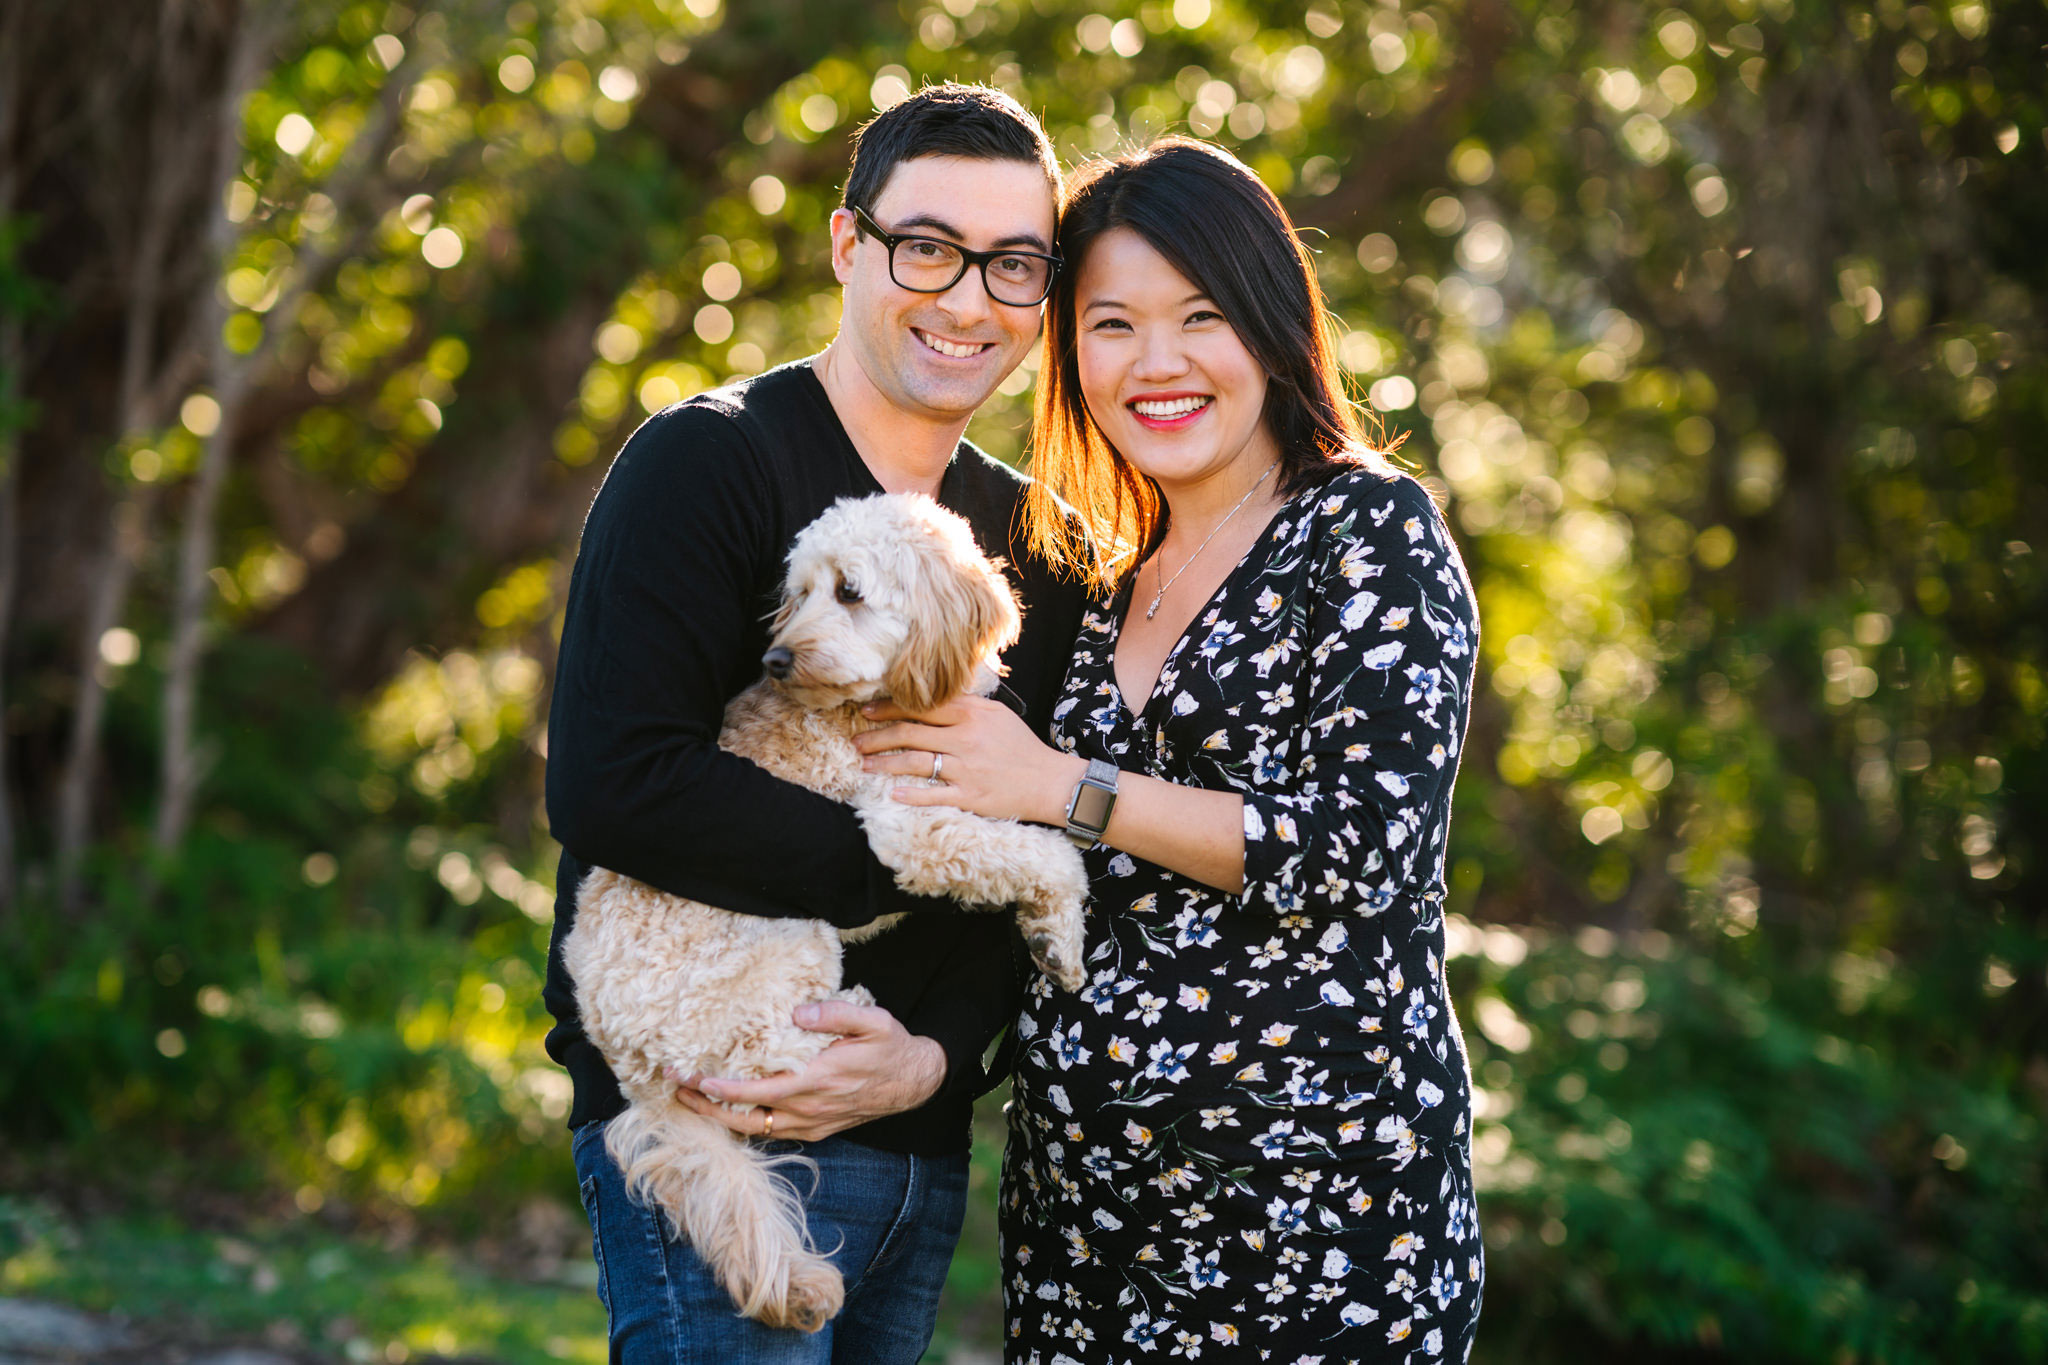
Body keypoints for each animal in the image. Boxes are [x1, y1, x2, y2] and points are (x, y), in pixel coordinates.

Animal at [569, 493, 1089, 1334]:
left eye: (848, 591)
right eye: (800, 590)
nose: (777, 660)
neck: (891, 699)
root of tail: (628, 1065)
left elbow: (1028, 851)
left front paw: (1053, 937)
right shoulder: (909, 827)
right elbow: (1048, 854)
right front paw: (1063, 921)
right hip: (784, 945)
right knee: (755, 1067)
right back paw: (844, 1025)